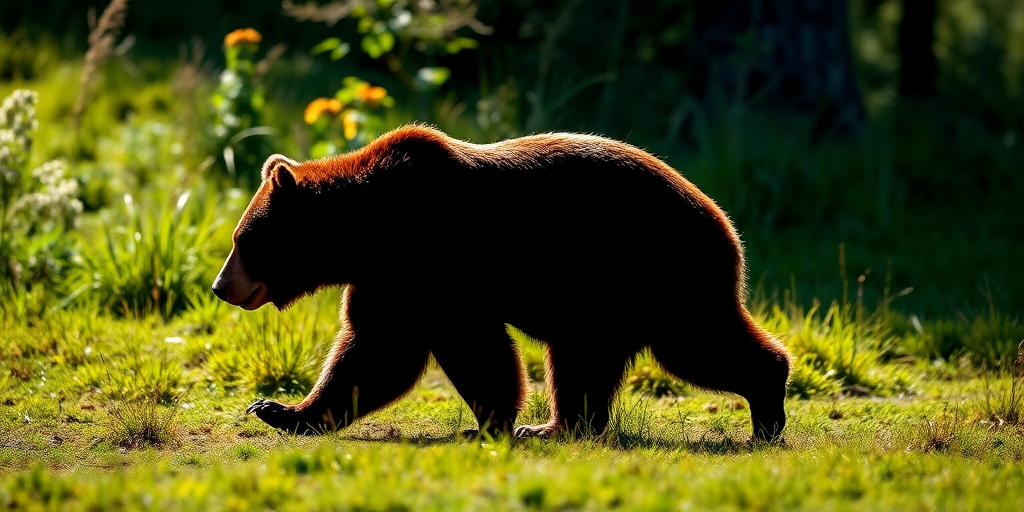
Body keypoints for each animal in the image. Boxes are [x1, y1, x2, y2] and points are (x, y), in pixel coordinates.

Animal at [211, 124, 792, 441]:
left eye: (242, 239)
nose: (220, 286)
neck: (370, 228)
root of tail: (727, 227)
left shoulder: (433, 260)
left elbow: (466, 346)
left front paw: (489, 422)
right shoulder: (387, 278)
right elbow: (374, 350)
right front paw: (279, 410)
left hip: (651, 272)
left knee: (696, 344)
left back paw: (767, 406)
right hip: (605, 301)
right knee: (584, 365)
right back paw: (557, 426)